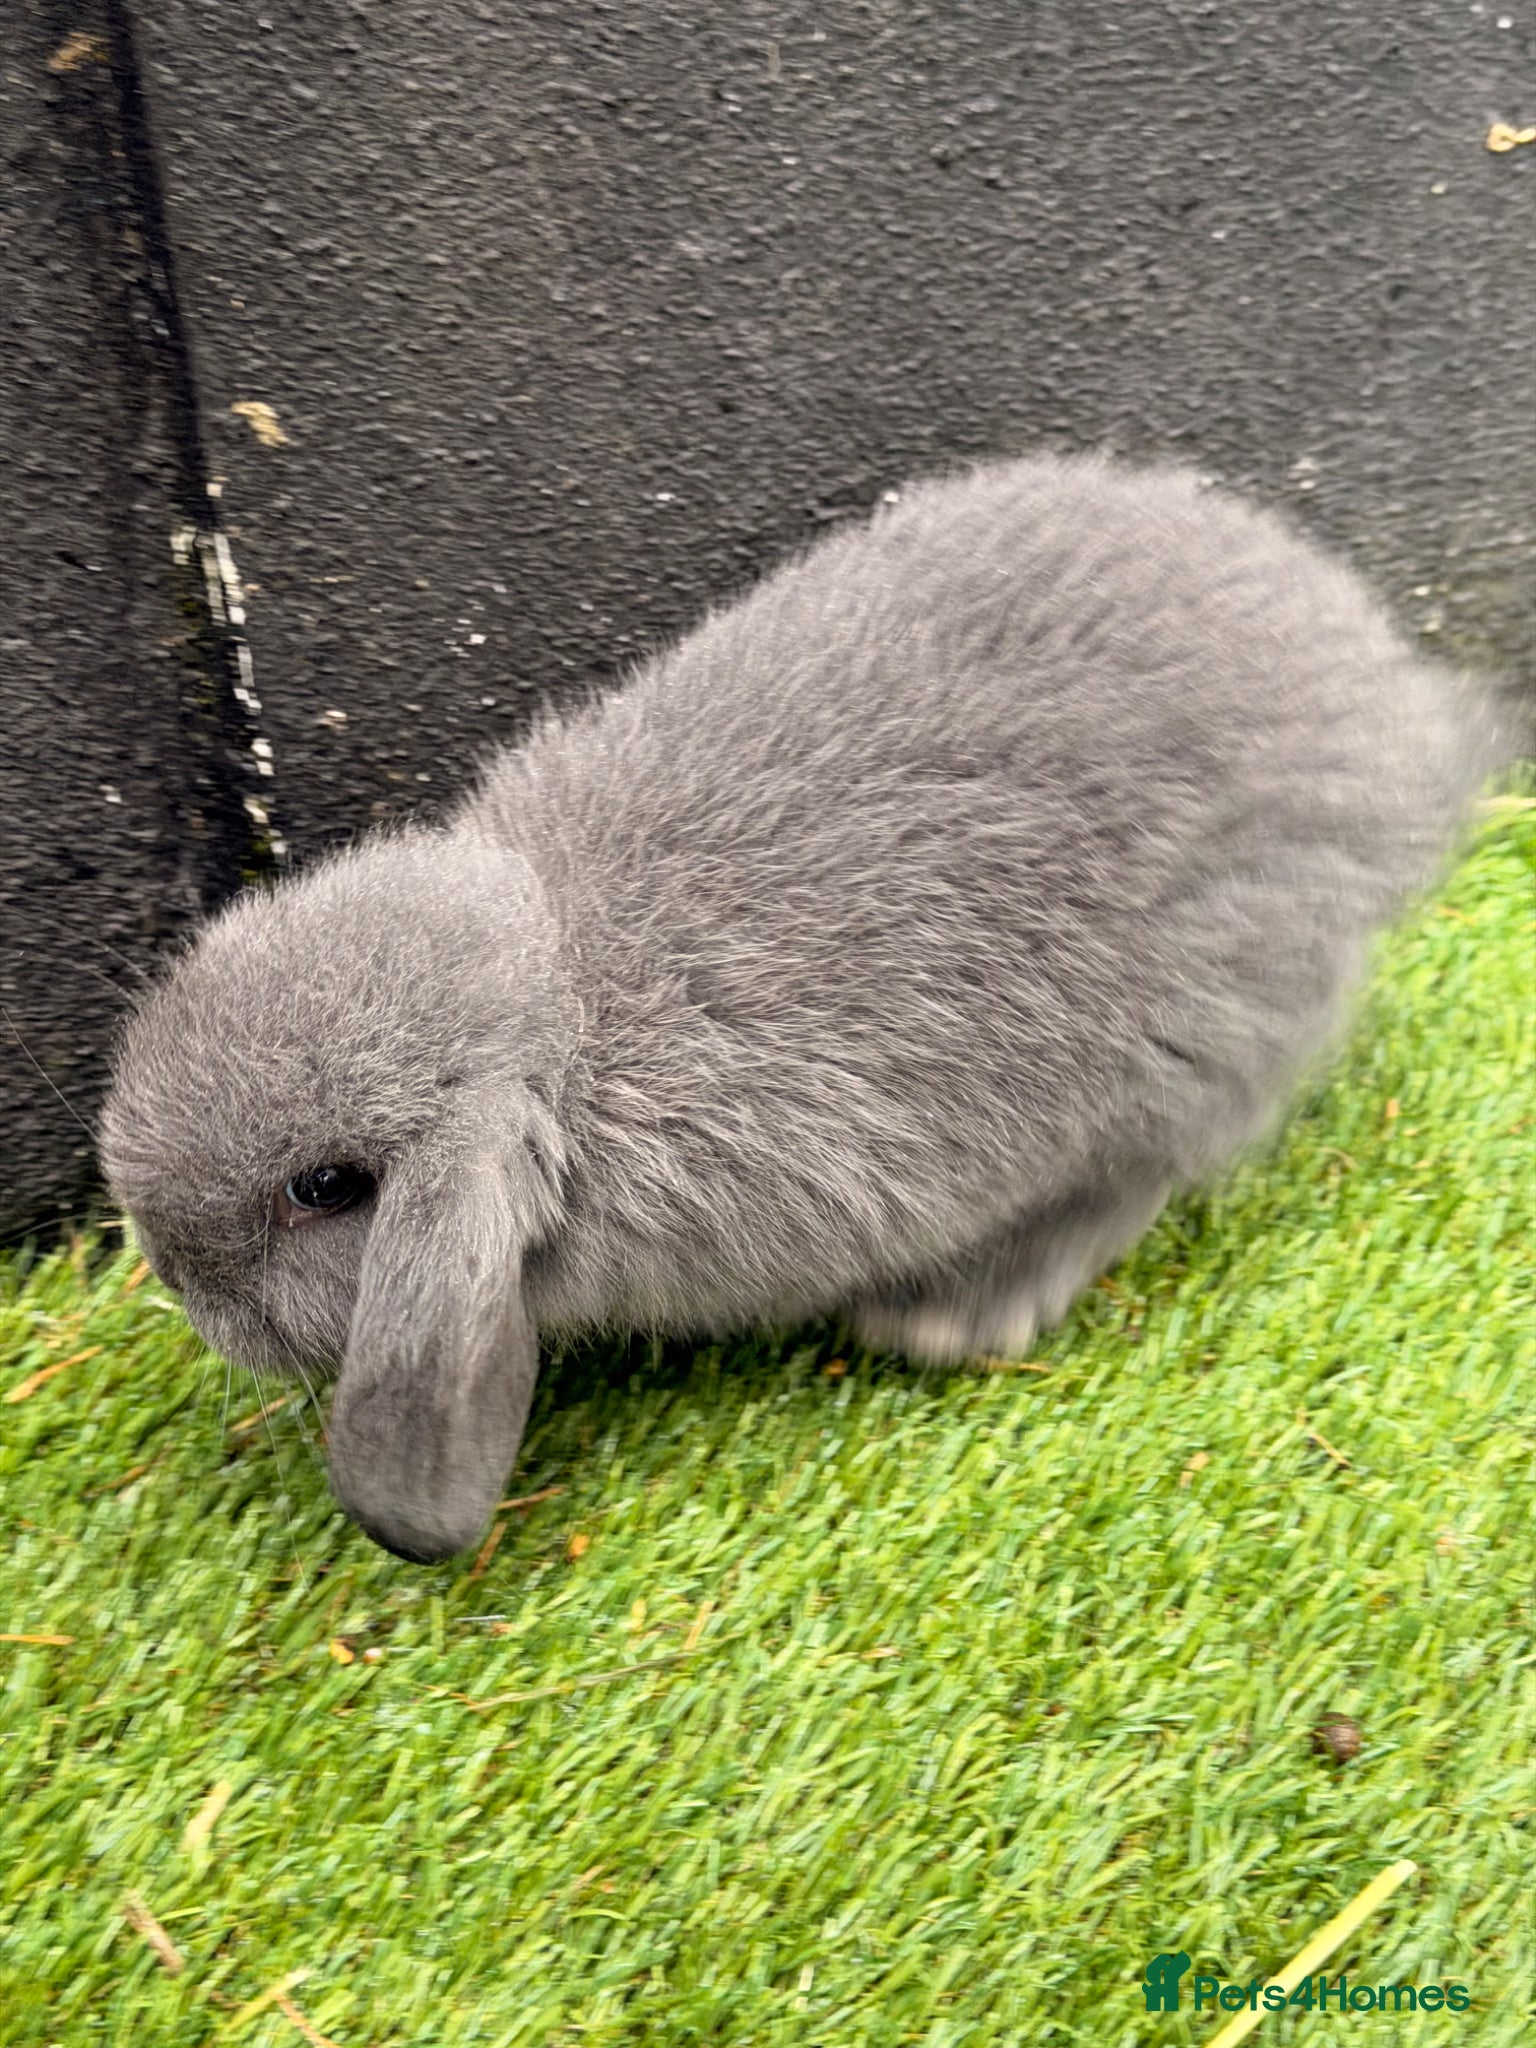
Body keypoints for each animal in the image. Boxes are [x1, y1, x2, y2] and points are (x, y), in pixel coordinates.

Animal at [99, 453, 1509, 1563]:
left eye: (330, 1188)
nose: (174, 1275)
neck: (573, 1015)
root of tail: (1393, 721)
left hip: (1205, 1027)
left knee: (1146, 1170)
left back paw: (951, 1312)